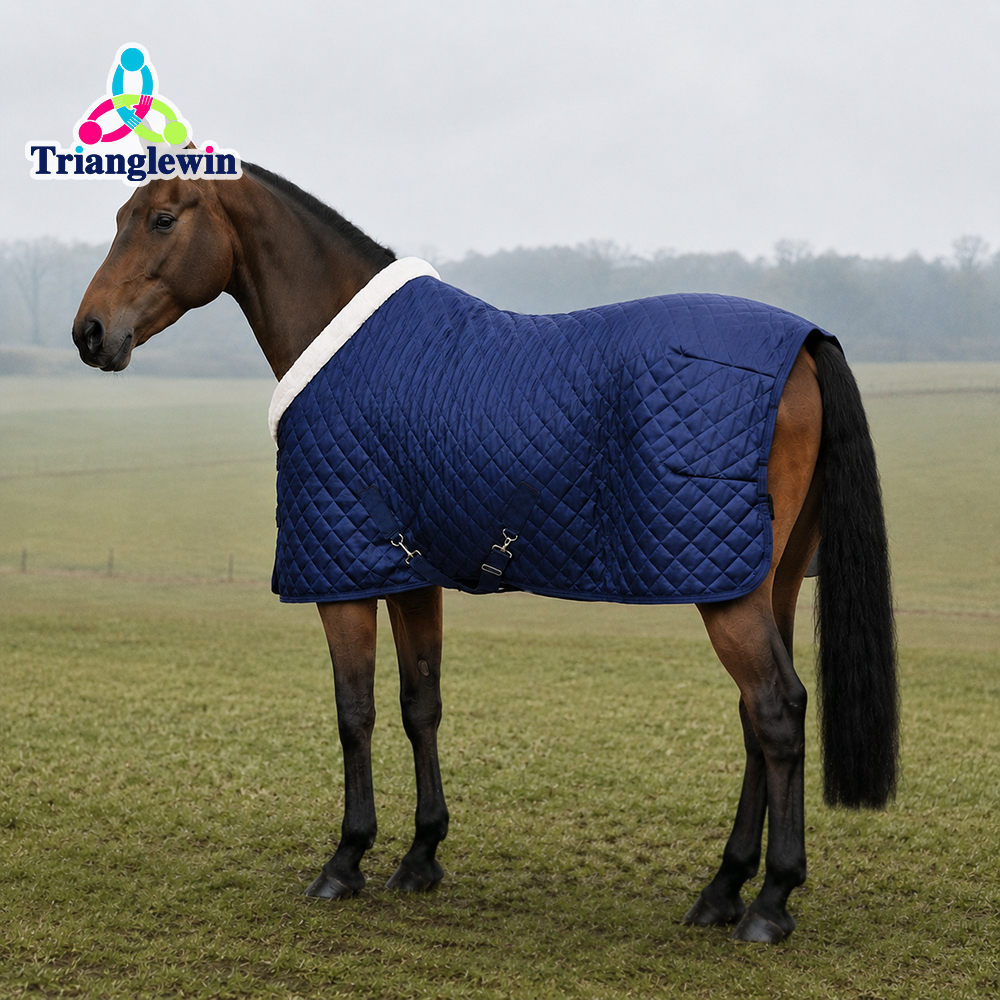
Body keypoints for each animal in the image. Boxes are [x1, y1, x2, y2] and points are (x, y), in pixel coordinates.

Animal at [72, 163, 898, 944]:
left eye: (161, 219)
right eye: (118, 215)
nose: (90, 332)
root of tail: (806, 344)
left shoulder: (344, 575)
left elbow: (355, 712)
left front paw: (346, 859)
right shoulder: (411, 572)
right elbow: (421, 704)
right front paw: (421, 855)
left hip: (727, 592)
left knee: (777, 711)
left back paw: (770, 902)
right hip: (765, 579)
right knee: (756, 721)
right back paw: (723, 890)